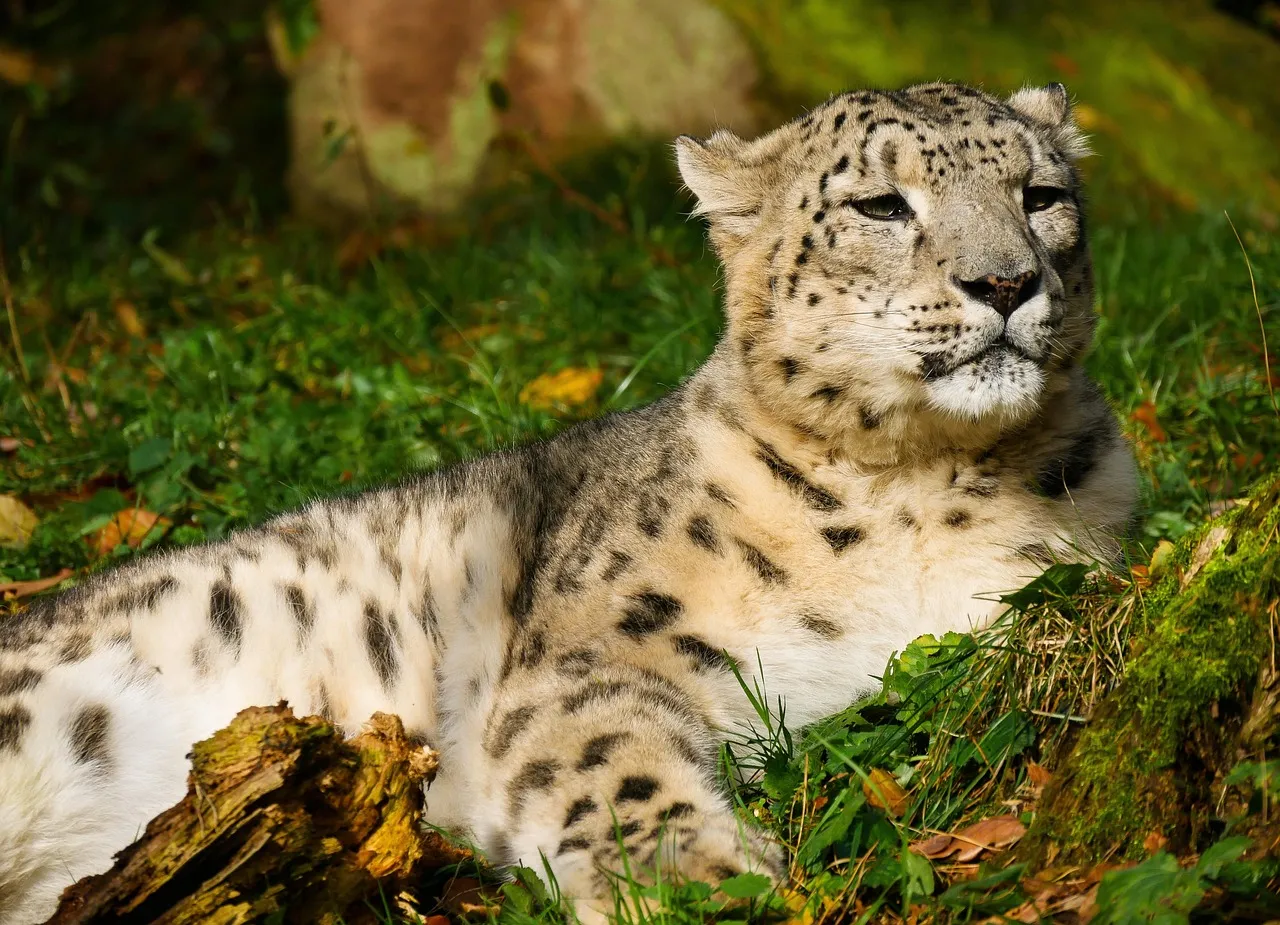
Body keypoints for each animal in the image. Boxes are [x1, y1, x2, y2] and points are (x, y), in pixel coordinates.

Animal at [0, 81, 1137, 924]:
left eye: (1040, 192)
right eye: (880, 206)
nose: (1006, 281)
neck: (918, 487)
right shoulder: (607, 643)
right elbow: (610, 753)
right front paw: (690, 879)